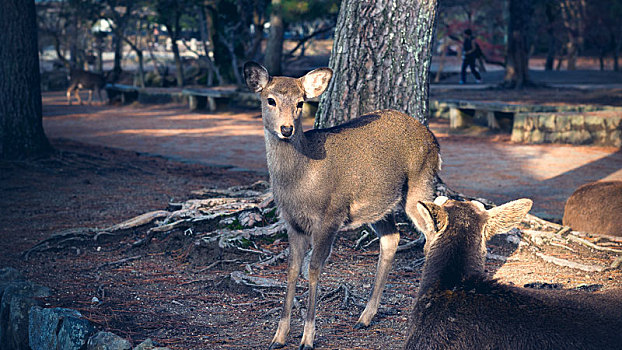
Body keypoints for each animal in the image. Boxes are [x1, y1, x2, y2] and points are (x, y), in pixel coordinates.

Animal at [244, 61, 444, 348]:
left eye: (301, 102)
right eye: (270, 100)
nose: (286, 129)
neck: (299, 182)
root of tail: (434, 140)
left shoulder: (330, 216)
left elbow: (313, 269)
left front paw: (307, 338)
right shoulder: (292, 222)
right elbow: (292, 270)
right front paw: (278, 337)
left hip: (420, 184)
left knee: (431, 233)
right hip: (379, 202)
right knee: (392, 238)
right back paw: (365, 317)